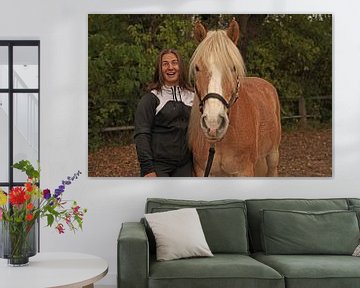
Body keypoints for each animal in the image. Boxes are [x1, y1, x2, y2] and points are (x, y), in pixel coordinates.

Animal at [188, 19, 282, 177]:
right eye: (197, 68)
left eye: (233, 68)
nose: (213, 123)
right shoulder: (202, 171)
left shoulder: (245, 171)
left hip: (272, 157)